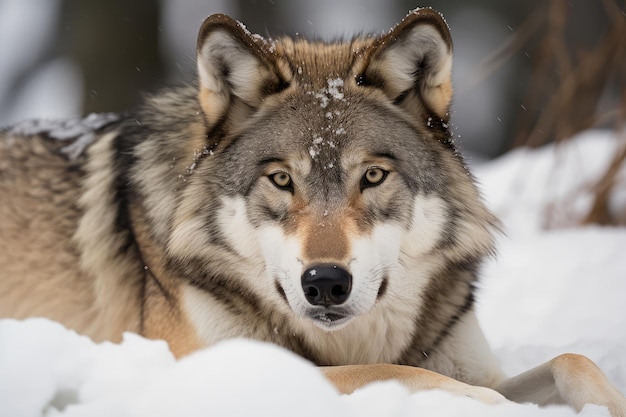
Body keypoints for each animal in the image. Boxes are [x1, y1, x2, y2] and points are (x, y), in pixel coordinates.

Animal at [1, 5, 624, 412]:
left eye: (372, 176)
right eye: (281, 180)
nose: (325, 283)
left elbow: (574, 360)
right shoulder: (212, 364)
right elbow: (400, 371)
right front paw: (489, 406)